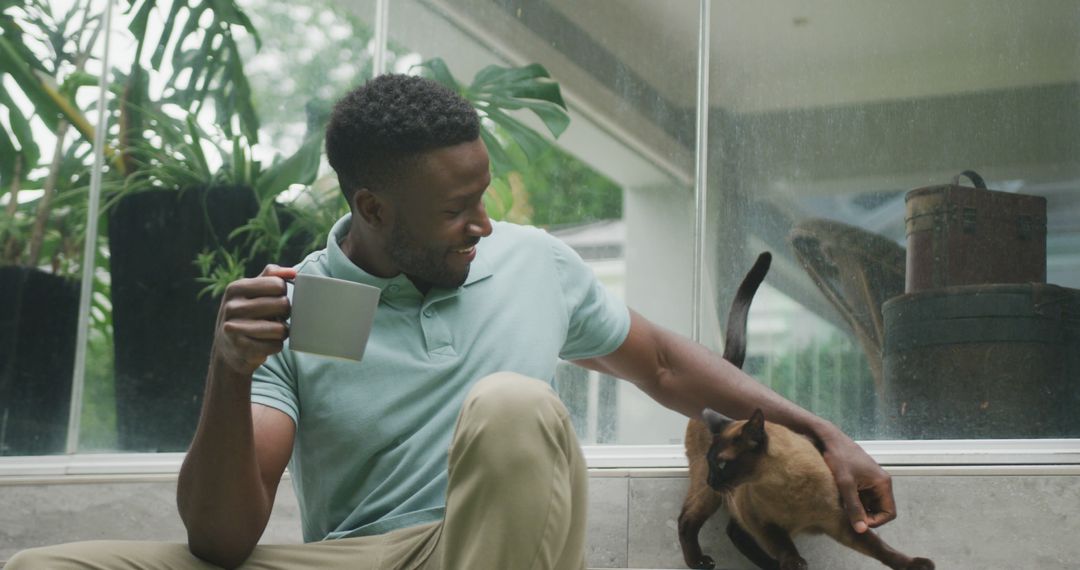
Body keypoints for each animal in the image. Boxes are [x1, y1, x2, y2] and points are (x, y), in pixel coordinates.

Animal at [678, 252, 933, 570]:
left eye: (722, 464)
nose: (713, 478)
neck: (784, 488)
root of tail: (725, 367)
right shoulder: (764, 524)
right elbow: (786, 549)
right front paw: (794, 565)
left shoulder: (843, 523)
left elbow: (881, 548)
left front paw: (914, 564)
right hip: (712, 495)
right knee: (689, 520)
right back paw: (701, 562)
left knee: (732, 532)